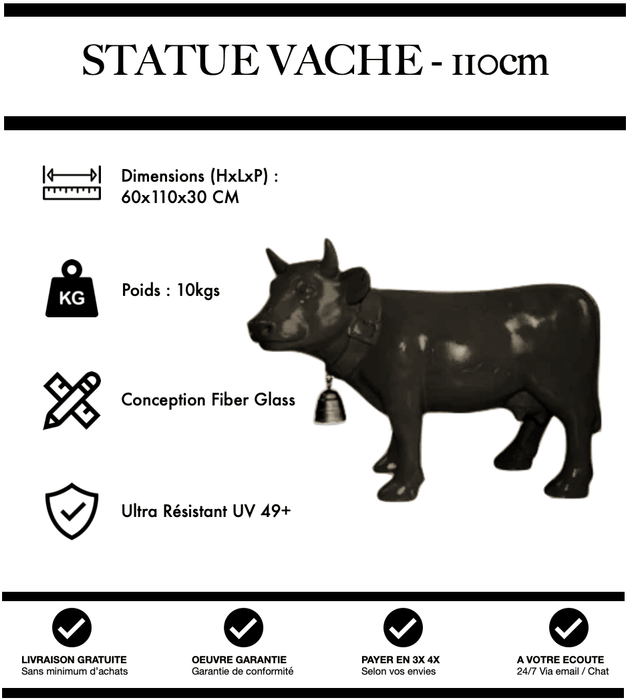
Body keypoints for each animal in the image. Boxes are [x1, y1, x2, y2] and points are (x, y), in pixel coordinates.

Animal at [248, 240, 601, 502]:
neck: (373, 326)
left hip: (563, 382)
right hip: (531, 386)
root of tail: (582, 297)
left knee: (577, 422)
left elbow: (406, 431)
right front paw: (387, 465)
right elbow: (395, 431)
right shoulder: (390, 393)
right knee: (540, 416)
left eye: (307, 289)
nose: (258, 324)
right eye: (272, 288)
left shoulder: (402, 391)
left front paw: (400, 488)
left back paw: (567, 485)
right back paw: (513, 459)